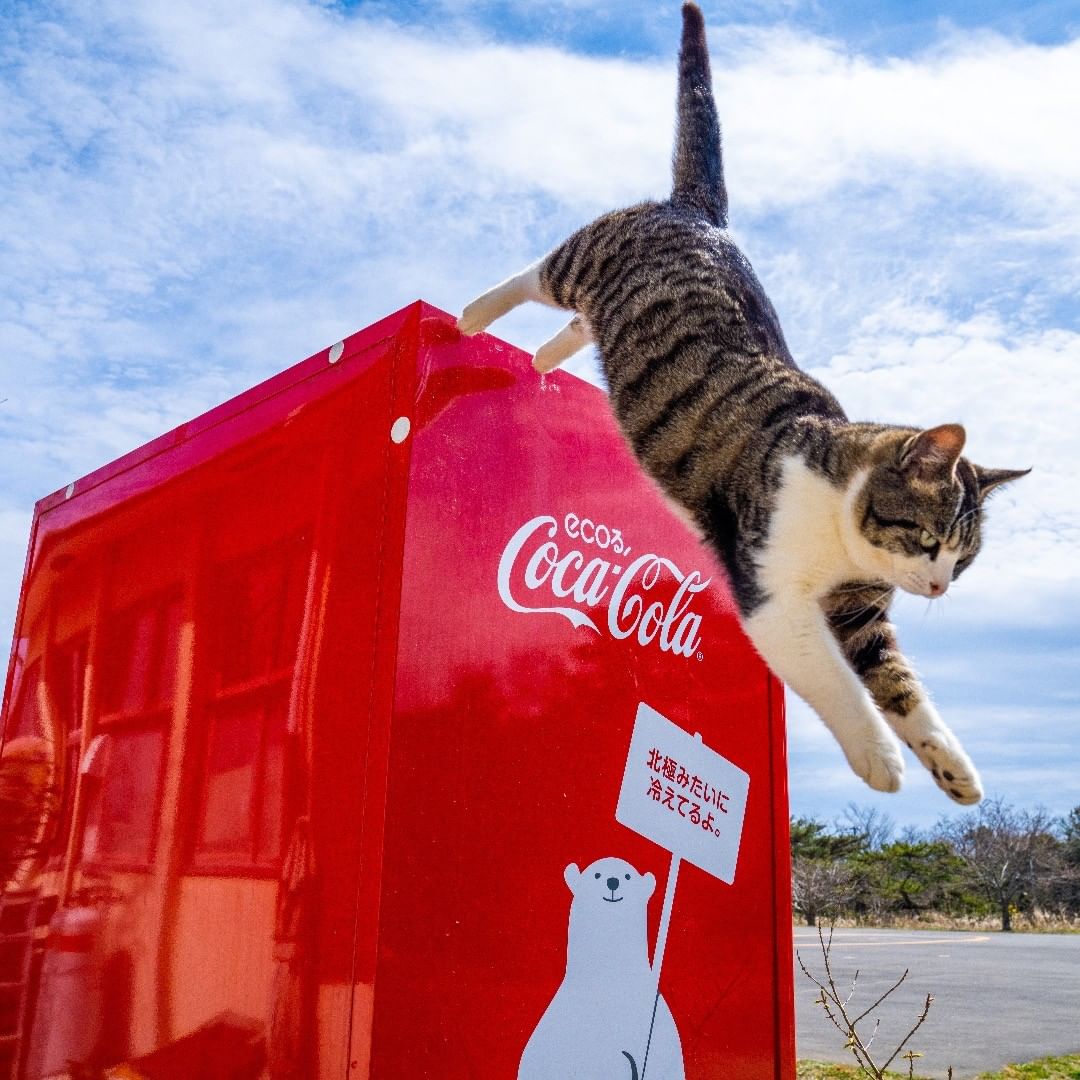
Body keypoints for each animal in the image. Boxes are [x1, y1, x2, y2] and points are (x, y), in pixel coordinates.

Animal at [457, 2, 1028, 803]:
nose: (941, 586)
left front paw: (951, 766)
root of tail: (701, 215)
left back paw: (542, 357)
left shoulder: (862, 613)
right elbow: (833, 679)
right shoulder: (769, 590)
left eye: (965, 558)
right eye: (928, 539)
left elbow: (900, 684)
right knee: (538, 272)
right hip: (589, 256)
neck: (840, 527)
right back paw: (474, 314)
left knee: (581, 323)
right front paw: (879, 757)